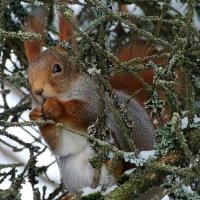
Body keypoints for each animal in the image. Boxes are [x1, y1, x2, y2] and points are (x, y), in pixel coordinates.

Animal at [25, 9, 155, 192]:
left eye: (57, 68)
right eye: (27, 78)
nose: (38, 91)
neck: (64, 94)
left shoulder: (95, 101)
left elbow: (86, 112)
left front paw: (56, 106)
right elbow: (61, 146)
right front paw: (36, 116)